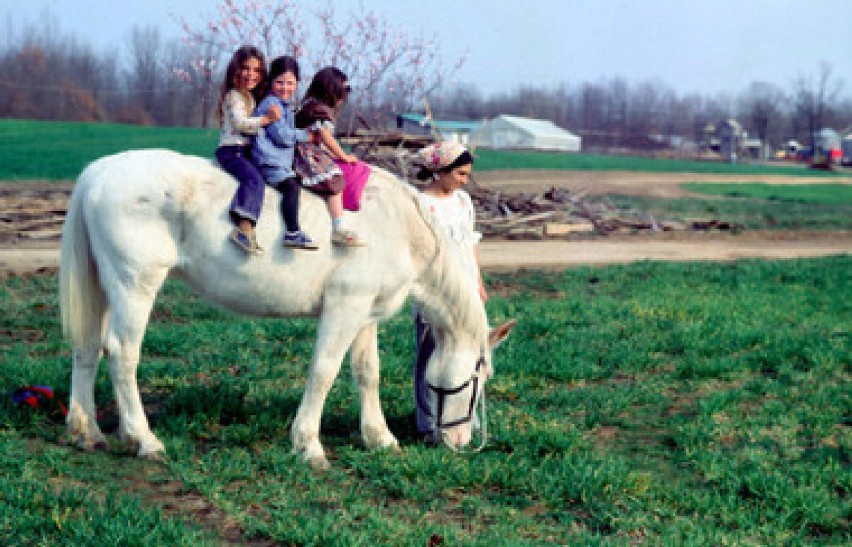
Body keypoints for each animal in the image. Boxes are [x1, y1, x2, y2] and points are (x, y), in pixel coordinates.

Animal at [61, 150, 512, 470]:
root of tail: (97, 173)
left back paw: (87, 432)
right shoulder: (345, 307)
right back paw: (144, 439)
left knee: (87, 349)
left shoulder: (365, 315)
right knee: (121, 353)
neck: (398, 226)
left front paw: (379, 438)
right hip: (135, 285)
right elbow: (324, 371)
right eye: (480, 374)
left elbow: (368, 373)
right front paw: (309, 445)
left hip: (106, 287)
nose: (461, 442)